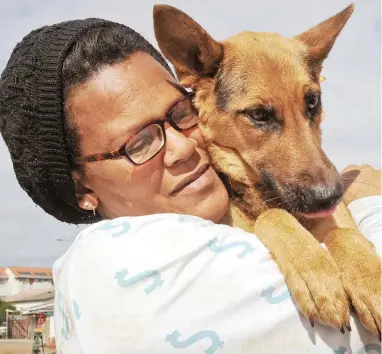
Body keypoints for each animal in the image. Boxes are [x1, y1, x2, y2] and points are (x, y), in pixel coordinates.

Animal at [154, 3, 380, 338]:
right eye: (259, 114)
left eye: (312, 102)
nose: (329, 197)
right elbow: (272, 216)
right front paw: (314, 269)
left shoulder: (336, 221)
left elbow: (342, 233)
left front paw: (371, 280)